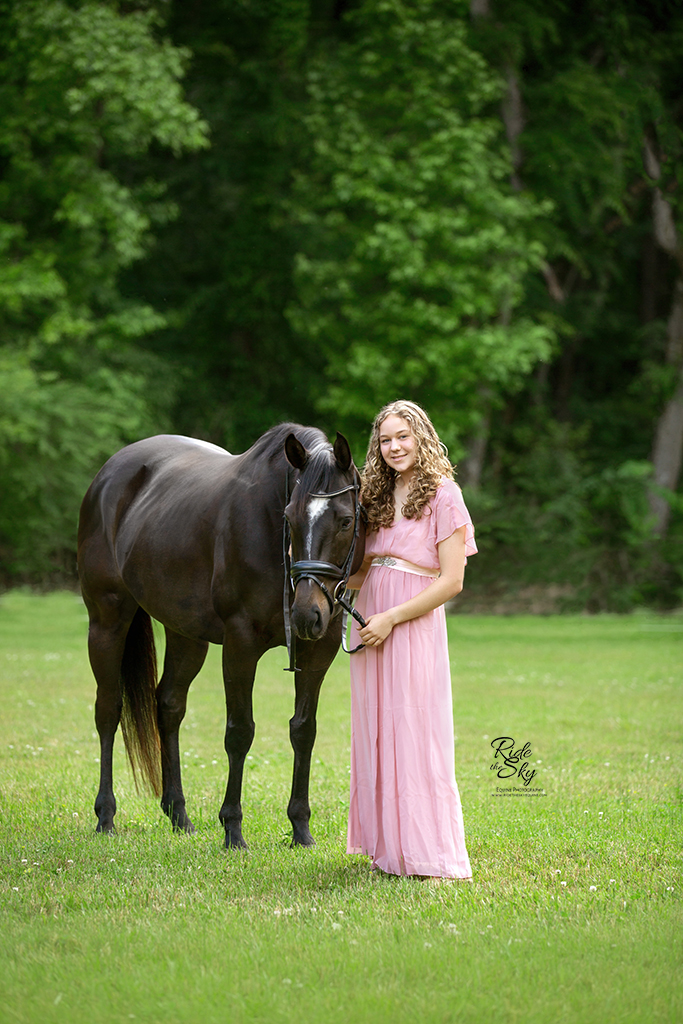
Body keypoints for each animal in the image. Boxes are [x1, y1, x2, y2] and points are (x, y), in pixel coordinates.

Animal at [77, 423, 366, 847]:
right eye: (290, 518)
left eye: (346, 521)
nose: (305, 614)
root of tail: (108, 474)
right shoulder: (240, 644)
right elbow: (240, 732)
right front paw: (232, 828)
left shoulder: (319, 650)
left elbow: (303, 730)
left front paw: (300, 829)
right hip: (107, 621)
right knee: (108, 710)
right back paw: (106, 816)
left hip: (186, 636)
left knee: (169, 706)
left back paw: (179, 815)